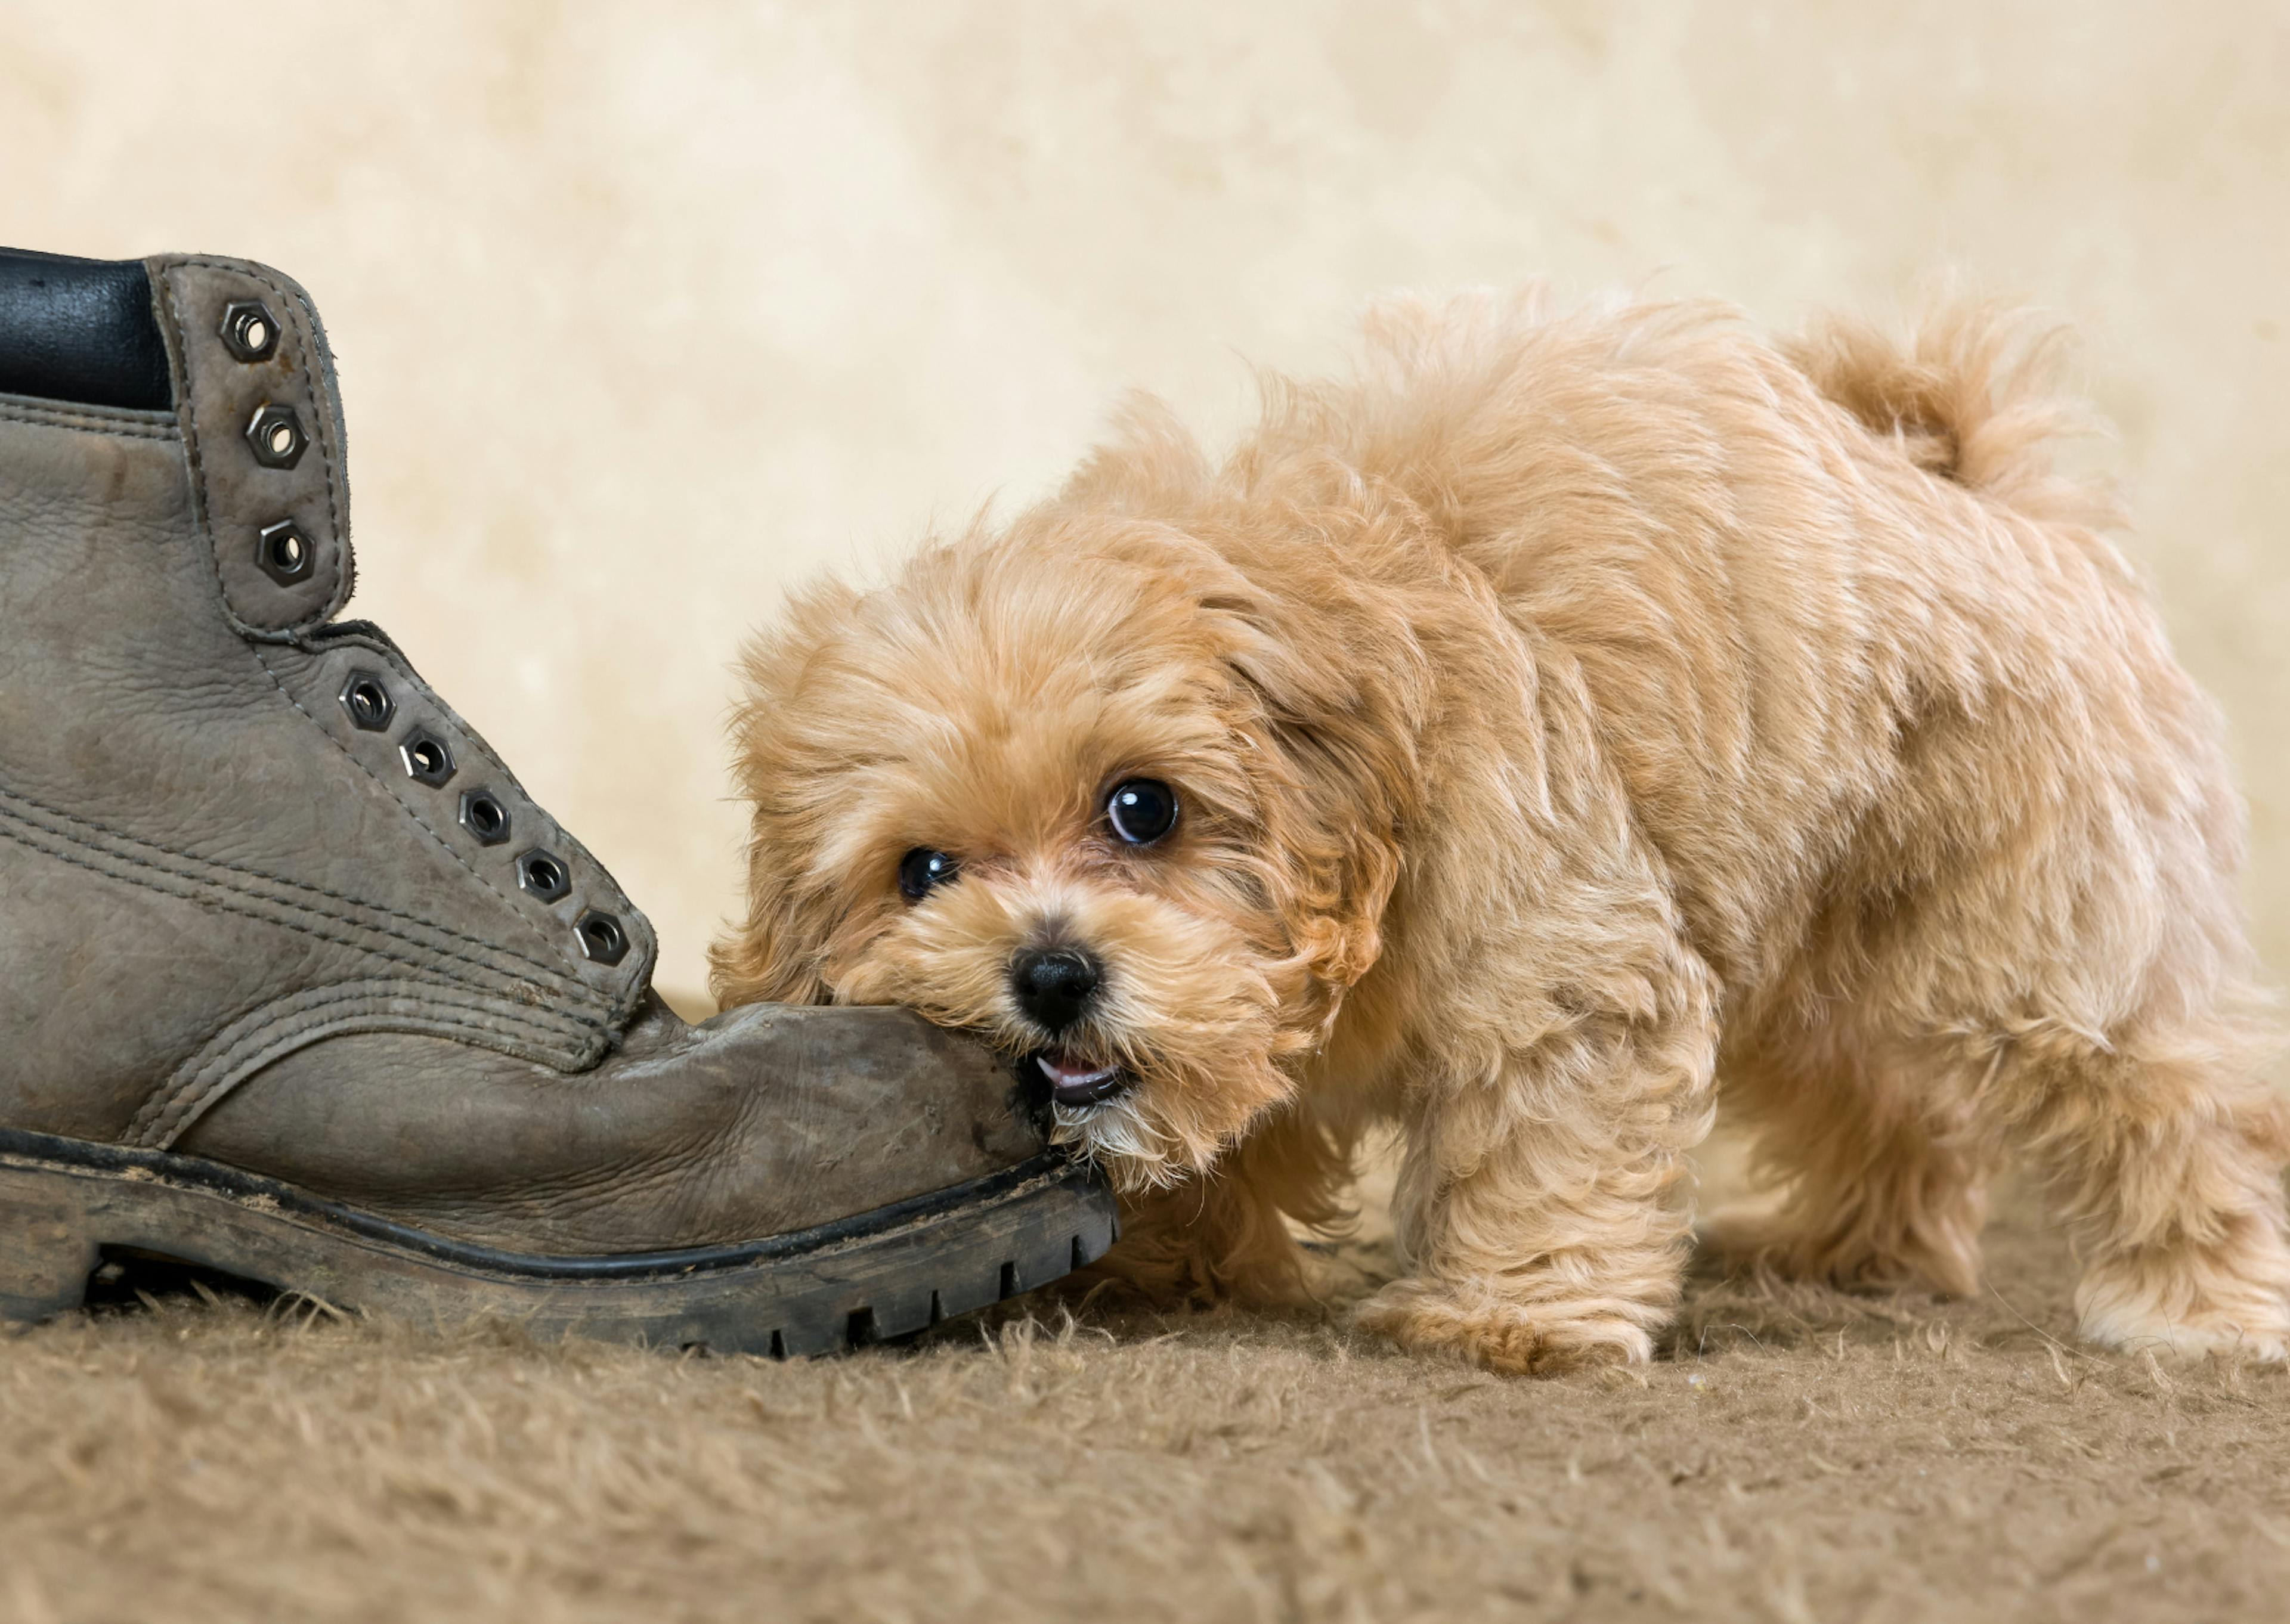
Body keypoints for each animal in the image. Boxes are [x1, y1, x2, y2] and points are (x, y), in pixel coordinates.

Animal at [710, 289, 2290, 1365]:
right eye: (921, 873)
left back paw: (2199, 1301)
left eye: (1141, 808)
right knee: (1883, 1094)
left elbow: (1544, 1132)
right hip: (1822, 931)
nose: (1047, 972)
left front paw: (1506, 1319)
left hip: (2053, 913)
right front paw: (1158, 1262)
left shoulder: (1563, 960)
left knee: (2172, 1093)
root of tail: (1992, 493)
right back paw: (1864, 1250)